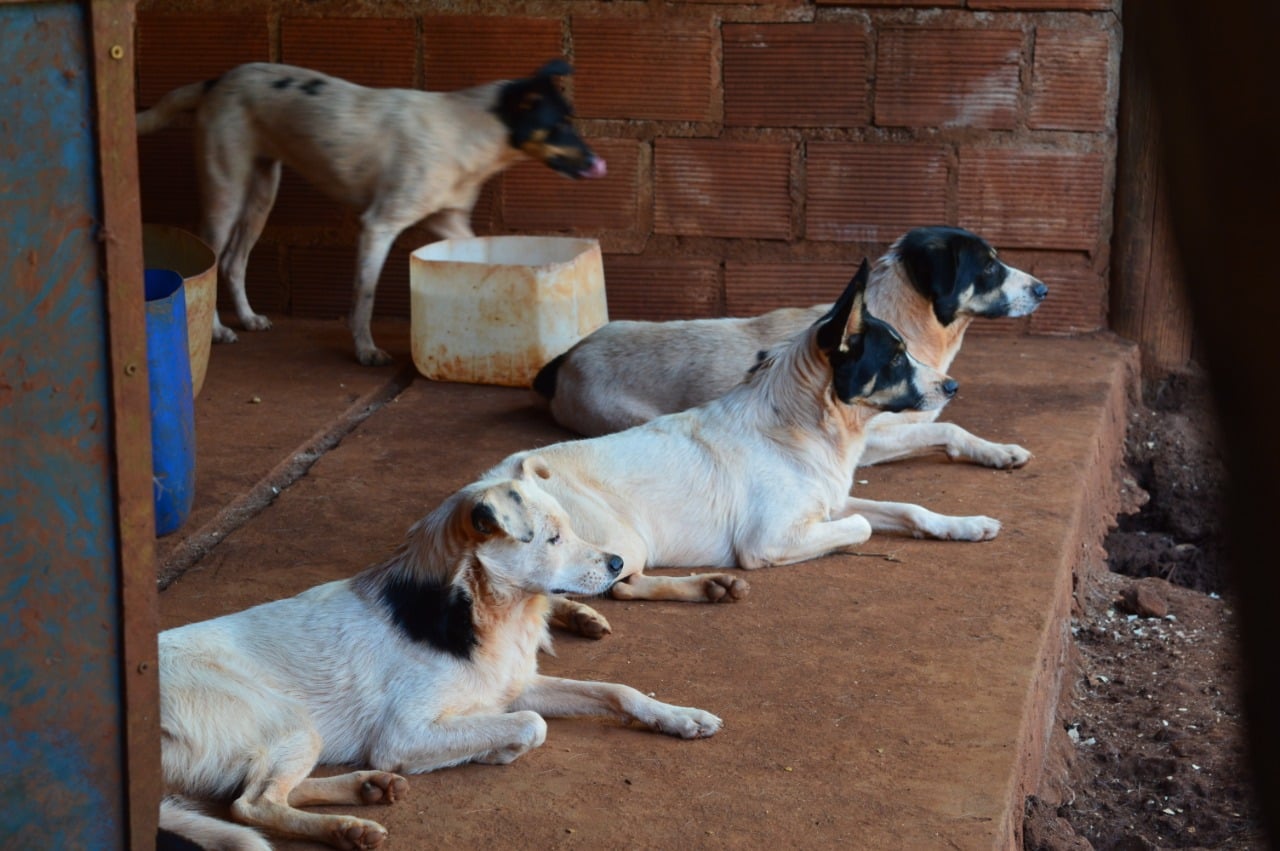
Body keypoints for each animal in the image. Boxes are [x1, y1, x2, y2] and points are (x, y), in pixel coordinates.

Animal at [137, 58, 606, 365]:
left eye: (571, 121)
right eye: (560, 125)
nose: (597, 163)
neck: (471, 129)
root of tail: (216, 80)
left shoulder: (451, 222)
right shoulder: (379, 225)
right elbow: (364, 295)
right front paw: (365, 349)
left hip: (262, 192)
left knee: (234, 262)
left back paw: (250, 318)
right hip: (226, 194)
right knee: (213, 260)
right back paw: (216, 330)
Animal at [158, 470, 716, 849]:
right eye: (553, 538)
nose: (619, 563)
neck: (486, 612)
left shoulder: (517, 685)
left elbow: (617, 691)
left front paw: (679, 717)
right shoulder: (401, 735)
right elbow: (530, 724)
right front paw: (496, 750)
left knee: (262, 794)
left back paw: (366, 787)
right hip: (290, 720)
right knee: (249, 805)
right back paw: (347, 827)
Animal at [535, 222, 1044, 468]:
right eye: (989, 266)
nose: (1043, 289)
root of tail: (568, 356)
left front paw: (994, 450)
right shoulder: (872, 439)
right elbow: (949, 429)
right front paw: (998, 451)